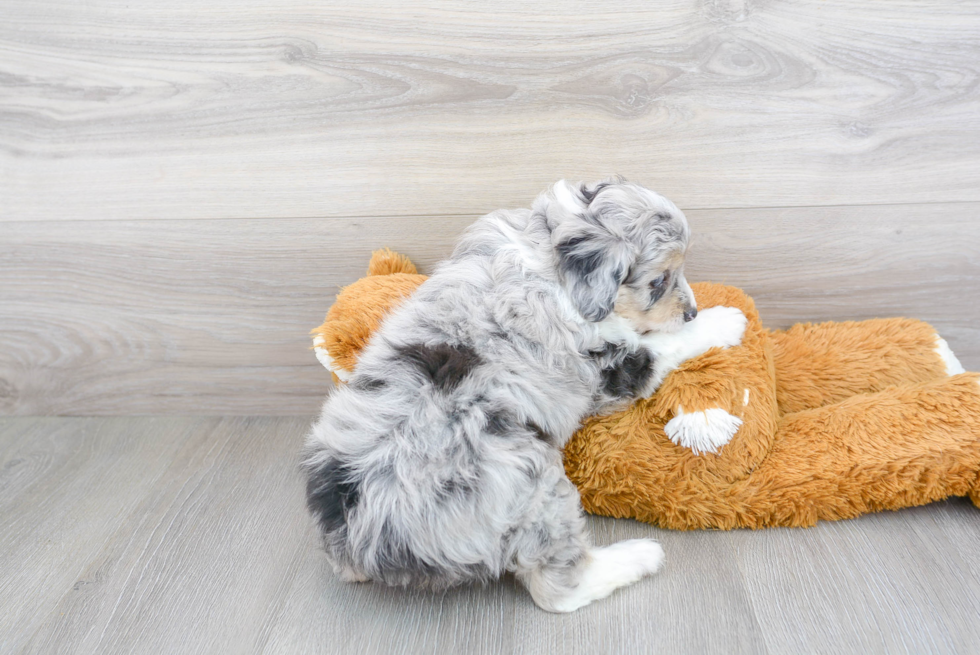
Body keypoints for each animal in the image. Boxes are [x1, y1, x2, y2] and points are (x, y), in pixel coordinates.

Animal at [302, 177, 748, 612]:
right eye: (658, 281)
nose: (691, 311)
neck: (548, 254)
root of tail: (359, 539)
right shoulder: (610, 368)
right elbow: (664, 345)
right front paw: (724, 319)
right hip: (532, 486)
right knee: (556, 591)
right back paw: (638, 556)